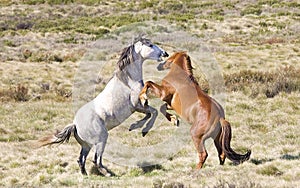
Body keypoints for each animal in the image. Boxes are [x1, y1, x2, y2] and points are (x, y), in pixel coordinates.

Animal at [37, 37, 168, 176]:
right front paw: (142, 129)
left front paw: (136, 127)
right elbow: (154, 112)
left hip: (86, 145)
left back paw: (86, 175)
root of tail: (75, 125)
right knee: (96, 160)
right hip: (101, 139)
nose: (165, 53)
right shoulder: (137, 105)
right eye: (150, 45)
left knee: (81, 159)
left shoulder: (140, 107)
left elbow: (150, 113)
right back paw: (109, 174)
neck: (128, 81)